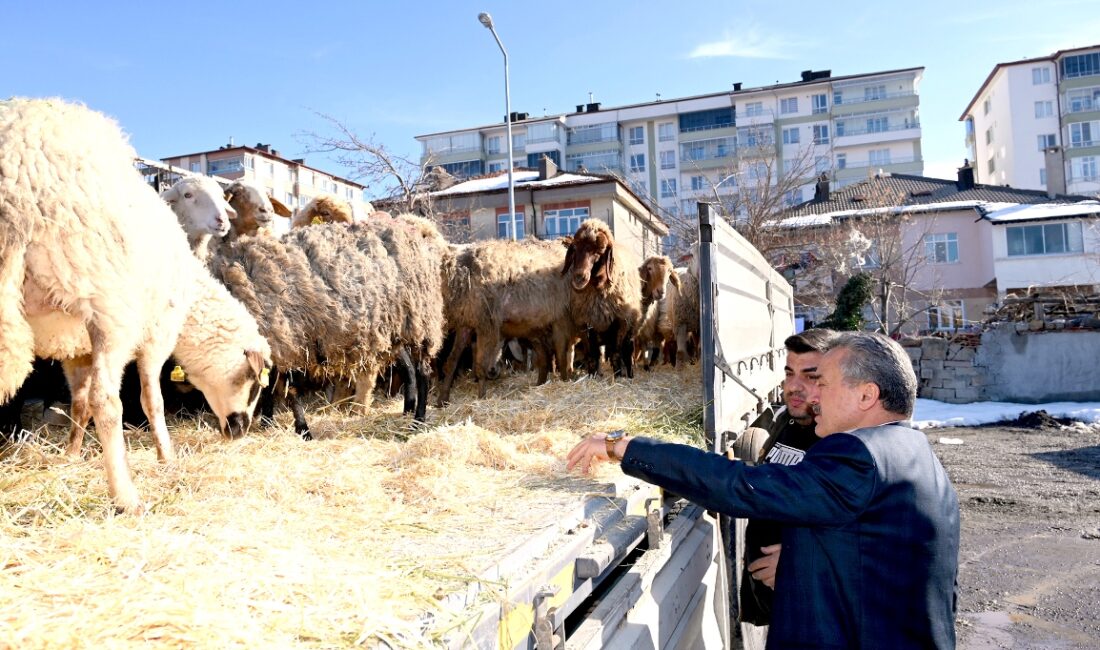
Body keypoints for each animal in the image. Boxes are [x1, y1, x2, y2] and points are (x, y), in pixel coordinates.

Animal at [0, 97, 272, 514]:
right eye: (254, 382)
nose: (239, 431)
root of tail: (16, 171)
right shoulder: (156, 334)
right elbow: (151, 400)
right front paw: (166, 457)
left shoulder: (74, 344)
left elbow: (78, 403)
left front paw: (71, 456)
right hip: (109, 309)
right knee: (108, 403)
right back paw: (125, 496)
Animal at [206, 216, 446, 435]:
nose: (232, 430)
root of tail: (419, 229)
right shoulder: (276, 343)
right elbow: (269, 385)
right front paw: (267, 422)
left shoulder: (291, 338)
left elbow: (289, 389)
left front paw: (303, 430)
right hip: (393, 329)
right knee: (408, 367)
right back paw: (407, 409)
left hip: (422, 321)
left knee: (423, 371)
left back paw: (418, 419)